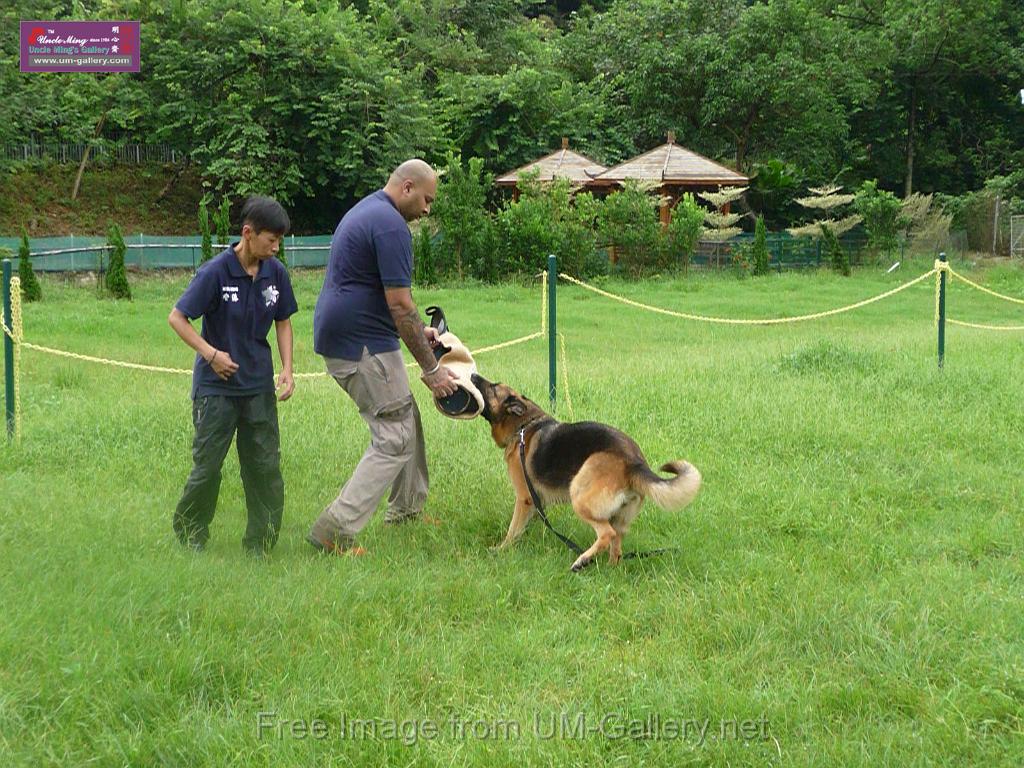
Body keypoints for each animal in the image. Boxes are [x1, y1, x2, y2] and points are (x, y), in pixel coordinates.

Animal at [471, 372, 704, 573]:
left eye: (493, 387)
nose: (472, 375)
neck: (523, 426)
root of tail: (634, 462)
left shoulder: (524, 498)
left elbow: (513, 529)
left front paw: (502, 549)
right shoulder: (536, 502)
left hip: (580, 496)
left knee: (606, 534)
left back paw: (582, 560)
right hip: (619, 518)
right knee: (616, 548)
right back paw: (608, 570)